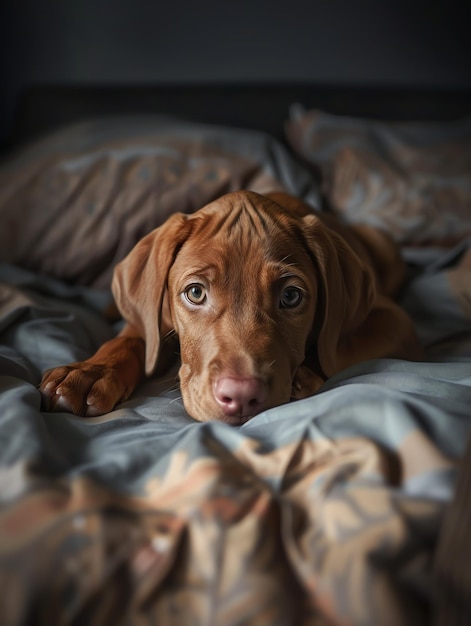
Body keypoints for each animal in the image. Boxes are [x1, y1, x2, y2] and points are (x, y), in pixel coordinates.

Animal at [40, 190, 424, 424]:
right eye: (195, 293)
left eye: (291, 297)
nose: (241, 397)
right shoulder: (152, 316)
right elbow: (132, 338)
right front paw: (91, 371)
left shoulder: (396, 322)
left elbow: (335, 352)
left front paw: (304, 376)